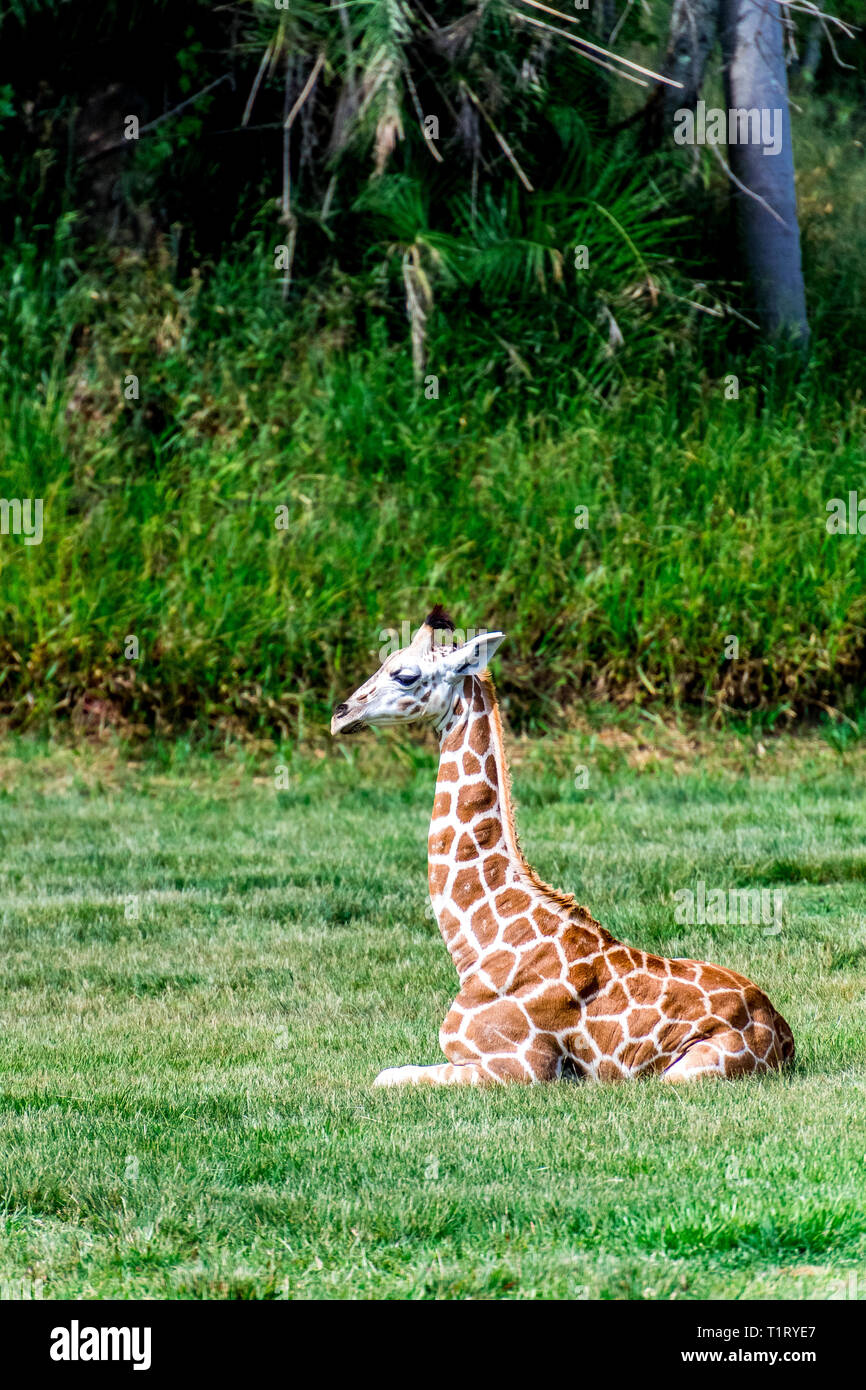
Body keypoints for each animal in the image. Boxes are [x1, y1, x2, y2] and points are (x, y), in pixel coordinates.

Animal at [330, 607, 795, 1087]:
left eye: (405, 675)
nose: (341, 714)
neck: (478, 946)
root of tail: (783, 1036)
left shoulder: (523, 1066)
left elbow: (384, 1076)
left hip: (681, 1073)